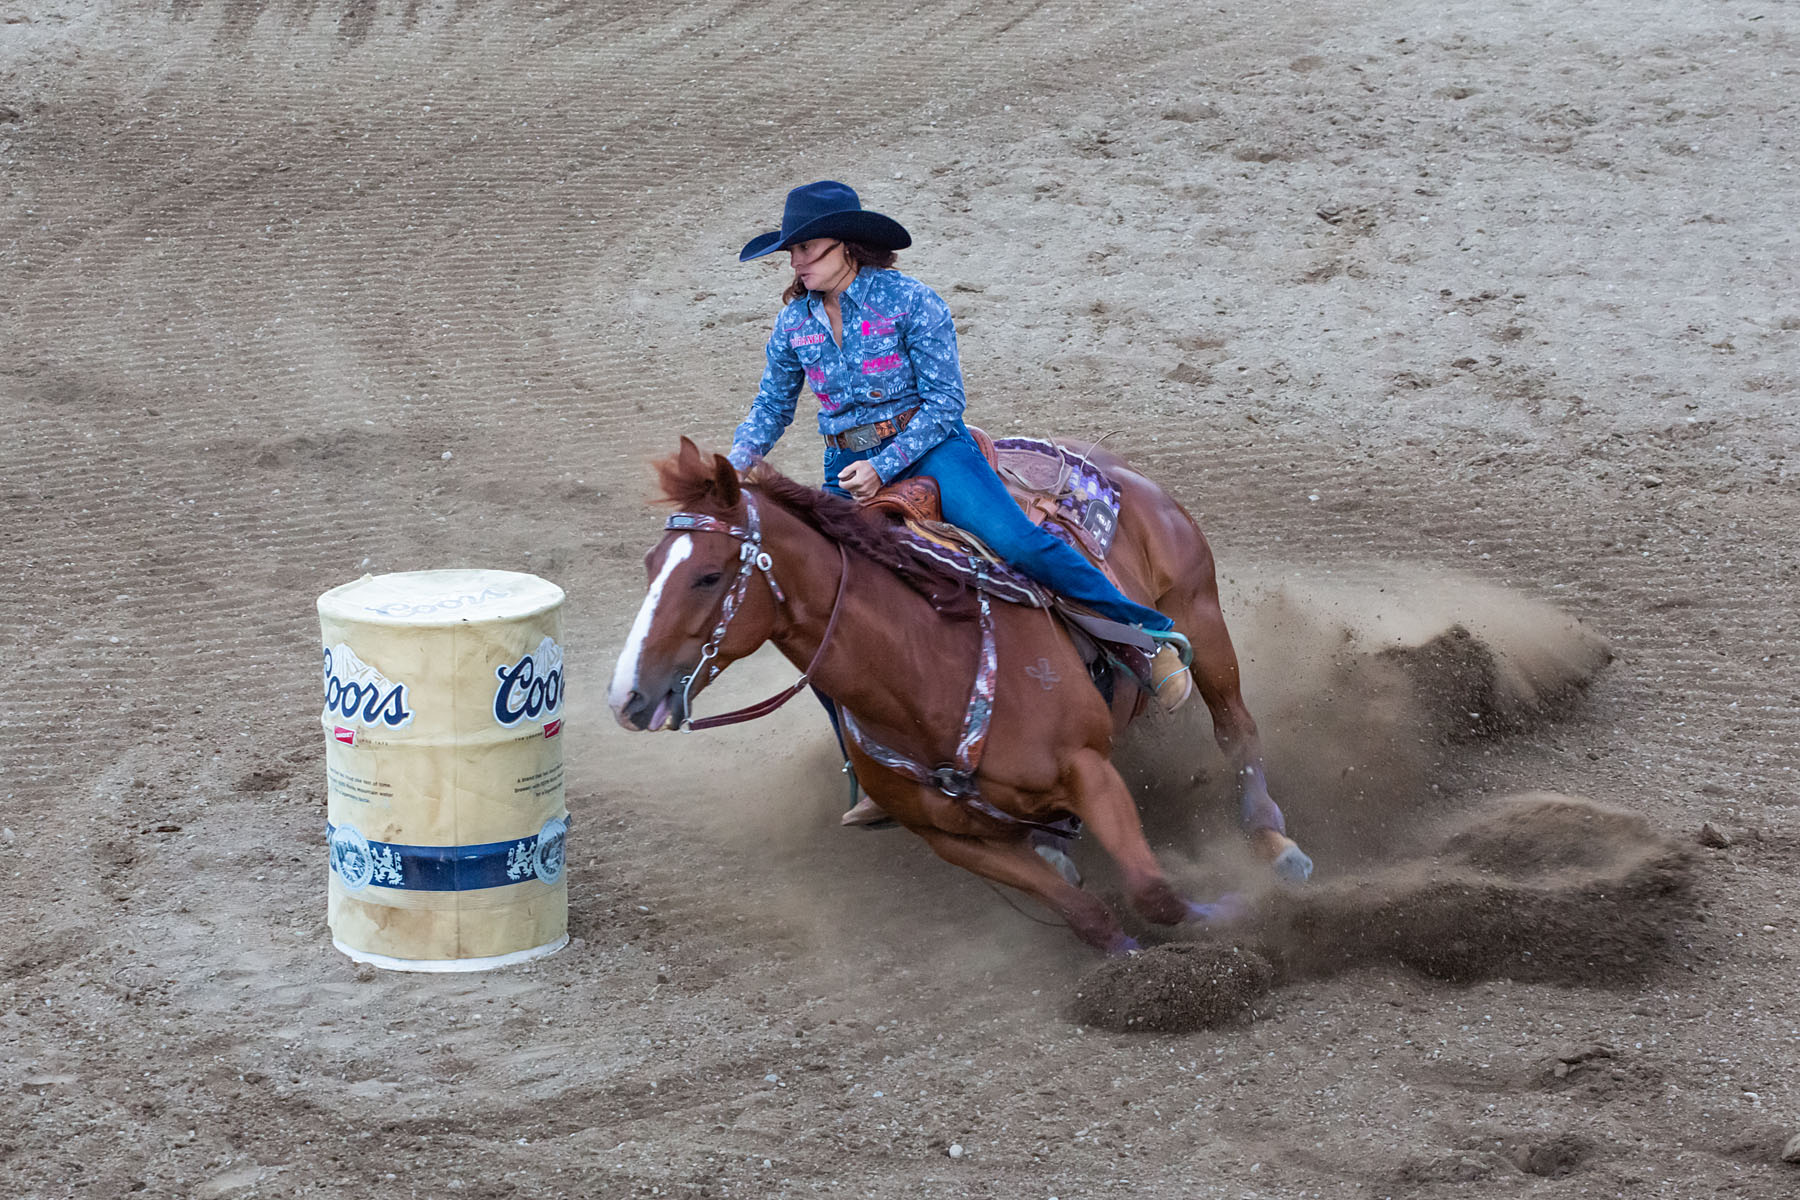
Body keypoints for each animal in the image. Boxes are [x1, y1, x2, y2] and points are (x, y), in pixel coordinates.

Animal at [608, 437, 1310, 949]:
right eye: (649, 565)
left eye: (706, 576)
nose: (626, 699)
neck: (923, 671)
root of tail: (1112, 466)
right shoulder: (952, 840)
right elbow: (1084, 914)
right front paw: (1127, 959)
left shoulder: (1089, 770)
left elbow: (1154, 894)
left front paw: (1235, 915)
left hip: (1201, 616)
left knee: (1235, 729)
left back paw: (1275, 846)